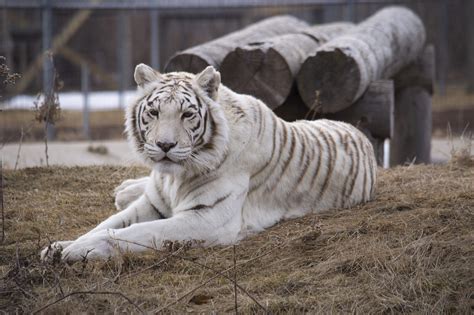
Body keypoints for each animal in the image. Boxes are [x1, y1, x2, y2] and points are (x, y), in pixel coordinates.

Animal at [40, 63, 376, 262]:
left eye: (187, 114)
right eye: (154, 112)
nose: (165, 145)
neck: (173, 177)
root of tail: (358, 131)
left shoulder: (208, 218)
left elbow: (136, 233)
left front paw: (82, 249)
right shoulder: (152, 204)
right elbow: (105, 224)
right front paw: (58, 247)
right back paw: (124, 190)